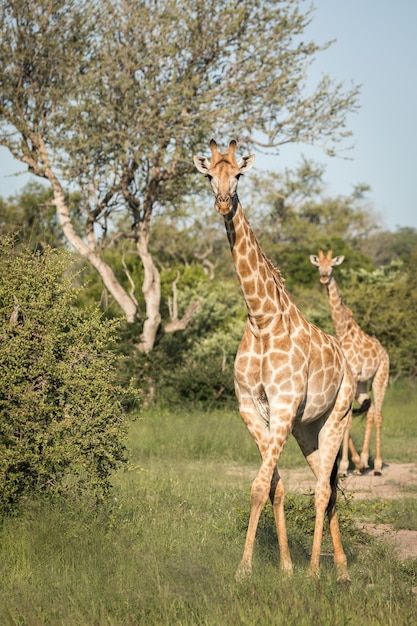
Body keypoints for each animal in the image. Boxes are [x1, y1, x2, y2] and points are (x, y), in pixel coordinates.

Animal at [193, 140, 354, 580]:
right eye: (209, 175)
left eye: (239, 174)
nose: (223, 203)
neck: (262, 318)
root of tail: (349, 365)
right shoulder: (252, 407)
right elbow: (272, 486)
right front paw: (282, 567)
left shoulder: (282, 405)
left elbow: (258, 485)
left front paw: (245, 570)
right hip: (307, 429)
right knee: (328, 485)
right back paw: (341, 570)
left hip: (338, 418)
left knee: (323, 489)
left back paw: (317, 570)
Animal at [310, 249, 388, 472]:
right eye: (318, 265)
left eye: (332, 266)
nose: (324, 277)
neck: (342, 330)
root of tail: (384, 352)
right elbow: (346, 421)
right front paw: (353, 462)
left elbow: (348, 421)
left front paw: (344, 465)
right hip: (362, 384)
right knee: (370, 411)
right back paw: (364, 460)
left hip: (381, 377)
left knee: (378, 414)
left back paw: (377, 465)